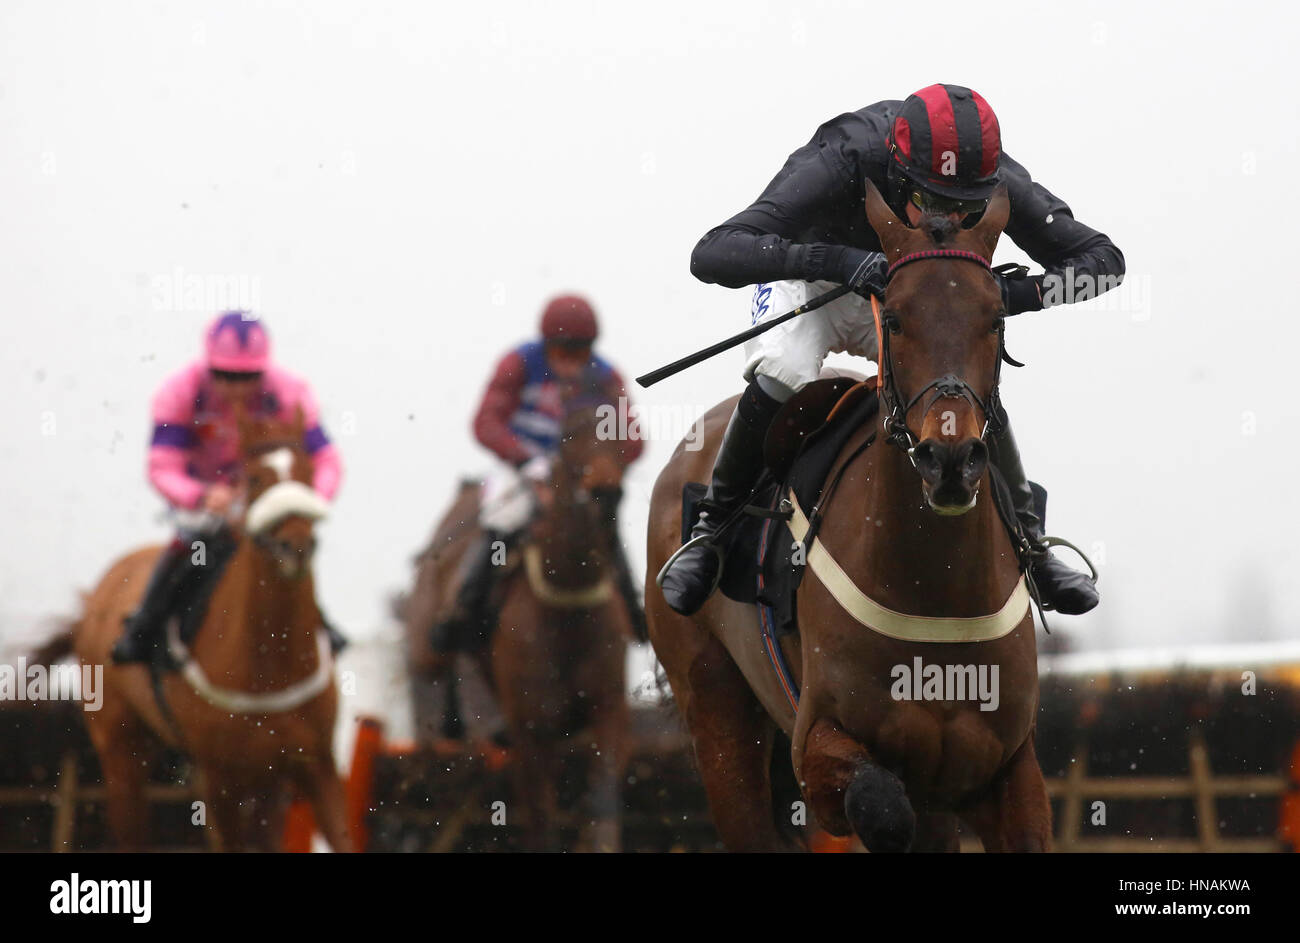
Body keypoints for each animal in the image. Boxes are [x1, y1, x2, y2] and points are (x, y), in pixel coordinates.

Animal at [74, 408, 351, 848]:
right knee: (131, 830)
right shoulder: (221, 776)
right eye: (254, 478)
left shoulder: (314, 763)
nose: (295, 546)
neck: (270, 664)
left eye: (308, 472)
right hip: (120, 749)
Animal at [644, 183, 1050, 853]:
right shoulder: (817, 745)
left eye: (996, 318)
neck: (935, 593)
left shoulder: (1008, 768)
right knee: (778, 376)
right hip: (717, 712)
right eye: (896, 317)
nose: (950, 460)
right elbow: (881, 808)